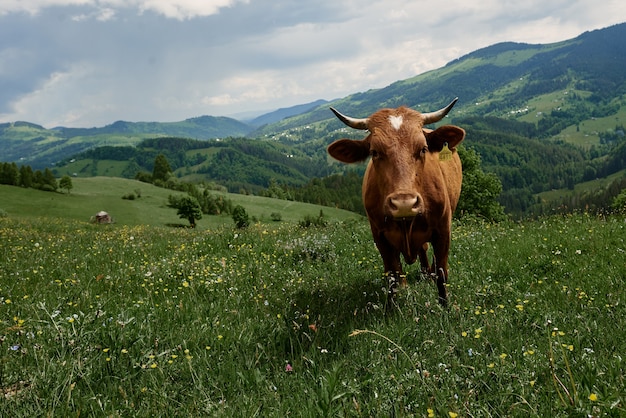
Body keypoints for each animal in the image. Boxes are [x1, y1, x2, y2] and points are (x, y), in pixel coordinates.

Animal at [326, 99, 464, 306]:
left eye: (423, 149)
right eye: (374, 152)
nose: (404, 204)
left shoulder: (443, 230)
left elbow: (442, 274)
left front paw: (445, 307)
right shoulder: (380, 236)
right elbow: (393, 276)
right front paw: (391, 308)